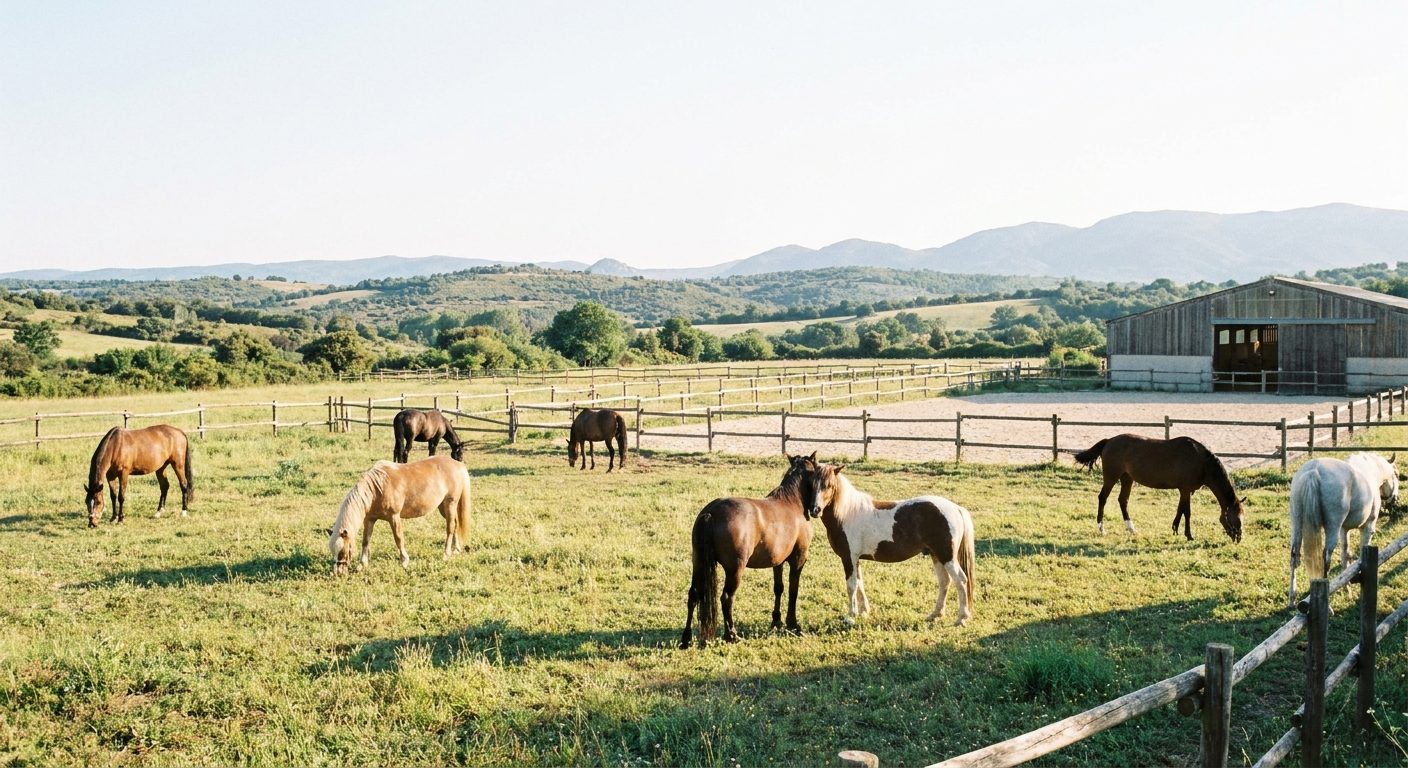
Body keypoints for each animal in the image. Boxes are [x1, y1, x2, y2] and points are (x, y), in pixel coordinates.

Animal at [328, 455, 472, 575]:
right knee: (455, 524)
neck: (377, 488)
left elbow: (398, 538)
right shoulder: (369, 519)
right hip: (443, 507)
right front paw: (362, 565)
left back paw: (446, 554)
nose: (338, 573)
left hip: (450, 503)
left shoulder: (394, 517)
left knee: (450, 528)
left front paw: (404, 561)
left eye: (343, 550)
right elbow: (365, 541)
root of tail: (457, 464)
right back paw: (456, 549)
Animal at [679, 452, 817, 649]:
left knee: (693, 595)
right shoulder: (798, 560)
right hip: (735, 569)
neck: (791, 502)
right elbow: (793, 591)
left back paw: (686, 639)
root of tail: (711, 512)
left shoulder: (778, 562)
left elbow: (779, 588)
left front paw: (776, 621)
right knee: (726, 598)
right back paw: (731, 635)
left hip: (698, 563)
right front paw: (793, 625)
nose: (815, 510)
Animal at [798, 461, 977, 627]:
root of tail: (956, 508)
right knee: (945, 582)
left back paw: (961, 618)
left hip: (947, 557)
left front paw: (851, 615)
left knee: (961, 580)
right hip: (936, 555)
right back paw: (935, 614)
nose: (815, 510)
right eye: (811, 484)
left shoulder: (849, 558)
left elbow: (852, 585)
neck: (847, 513)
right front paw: (864, 611)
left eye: (829, 485)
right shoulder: (856, 559)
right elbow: (860, 583)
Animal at [1073, 434, 1245, 542]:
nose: (1239, 538)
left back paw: (1131, 528)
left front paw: (1175, 529)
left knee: (1123, 501)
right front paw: (1188, 535)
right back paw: (1101, 529)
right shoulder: (1185, 489)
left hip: (1127, 478)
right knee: (1103, 498)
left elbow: (1180, 510)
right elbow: (1187, 512)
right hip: (1111, 477)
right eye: (1235, 517)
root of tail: (1109, 441)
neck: (1200, 461)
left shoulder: (1184, 491)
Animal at [1288, 453, 1397, 607]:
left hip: (1297, 524)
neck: (1370, 470)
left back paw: (1292, 599)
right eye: (1396, 475)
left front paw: (1347, 587)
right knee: (1325, 558)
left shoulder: (1344, 530)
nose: (1395, 499)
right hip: (1332, 528)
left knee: (1294, 556)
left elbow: (1345, 554)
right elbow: (1360, 553)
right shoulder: (1367, 528)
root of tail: (1314, 470)